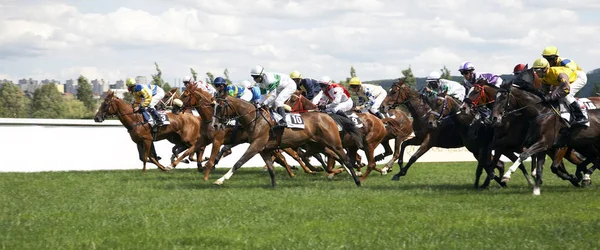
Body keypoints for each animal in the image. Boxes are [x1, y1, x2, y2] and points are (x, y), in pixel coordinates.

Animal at [211, 94, 360, 188]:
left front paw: (220, 180)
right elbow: (271, 169)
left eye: (220, 107)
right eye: (213, 107)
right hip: (317, 145)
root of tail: (328, 116)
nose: (215, 125)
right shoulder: (264, 150)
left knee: (345, 159)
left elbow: (239, 162)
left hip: (334, 143)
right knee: (335, 157)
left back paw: (357, 180)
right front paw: (274, 186)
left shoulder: (256, 145)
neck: (255, 119)